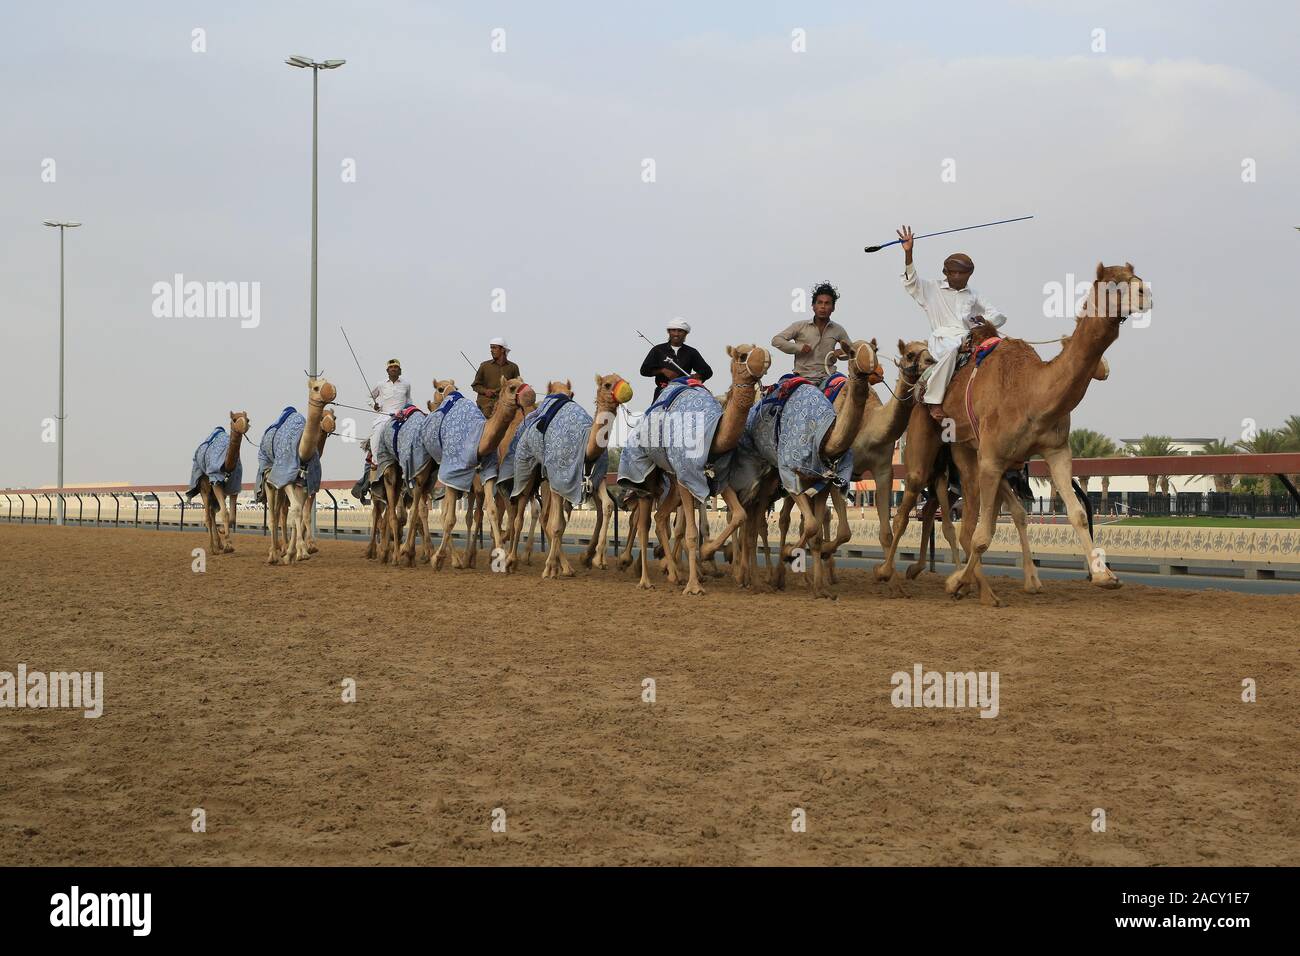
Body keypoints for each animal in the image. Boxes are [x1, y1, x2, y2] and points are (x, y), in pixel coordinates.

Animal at [189, 413, 249, 561]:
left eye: (247, 418)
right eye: (234, 419)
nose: (245, 425)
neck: (227, 467)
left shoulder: (234, 486)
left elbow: (232, 515)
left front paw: (224, 535)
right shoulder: (216, 481)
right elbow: (225, 513)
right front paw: (228, 546)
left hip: (213, 492)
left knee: (212, 512)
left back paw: (218, 544)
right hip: (204, 486)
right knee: (207, 515)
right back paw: (213, 548)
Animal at [260, 377, 335, 564]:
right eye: (316, 387)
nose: (331, 390)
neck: (302, 454)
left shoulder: (305, 484)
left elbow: (299, 513)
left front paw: (293, 554)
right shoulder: (286, 479)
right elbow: (295, 510)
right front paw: (301, 552)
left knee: (283, 513)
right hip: (269, 480)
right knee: (273, 516)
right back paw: (273, 555)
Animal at [621, 343, 769, 595]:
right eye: (742, 355)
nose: (766, 356)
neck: (714, 434)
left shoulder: (718, 476)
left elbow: (739, 514)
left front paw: (708, 553)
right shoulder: (686, 476)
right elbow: (689, 532)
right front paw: (694, 586)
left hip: (671, 482)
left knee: (660, 517)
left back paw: (673, 574)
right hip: (647, 476)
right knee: (643, 523)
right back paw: (645, 580)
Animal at [941, 261, 1154, 606]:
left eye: (1136, 278)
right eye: (1112, 284)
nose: (1144, 293)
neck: (1032, 394)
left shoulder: (1056, 450)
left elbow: (1077, 513)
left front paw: (1105, 576)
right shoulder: (991, 456)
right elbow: (982, 534)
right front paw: (956, 583)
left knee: (1007, 514)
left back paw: (1027, 581)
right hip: (964, 448)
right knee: (969, 523)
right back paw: (976, 586)